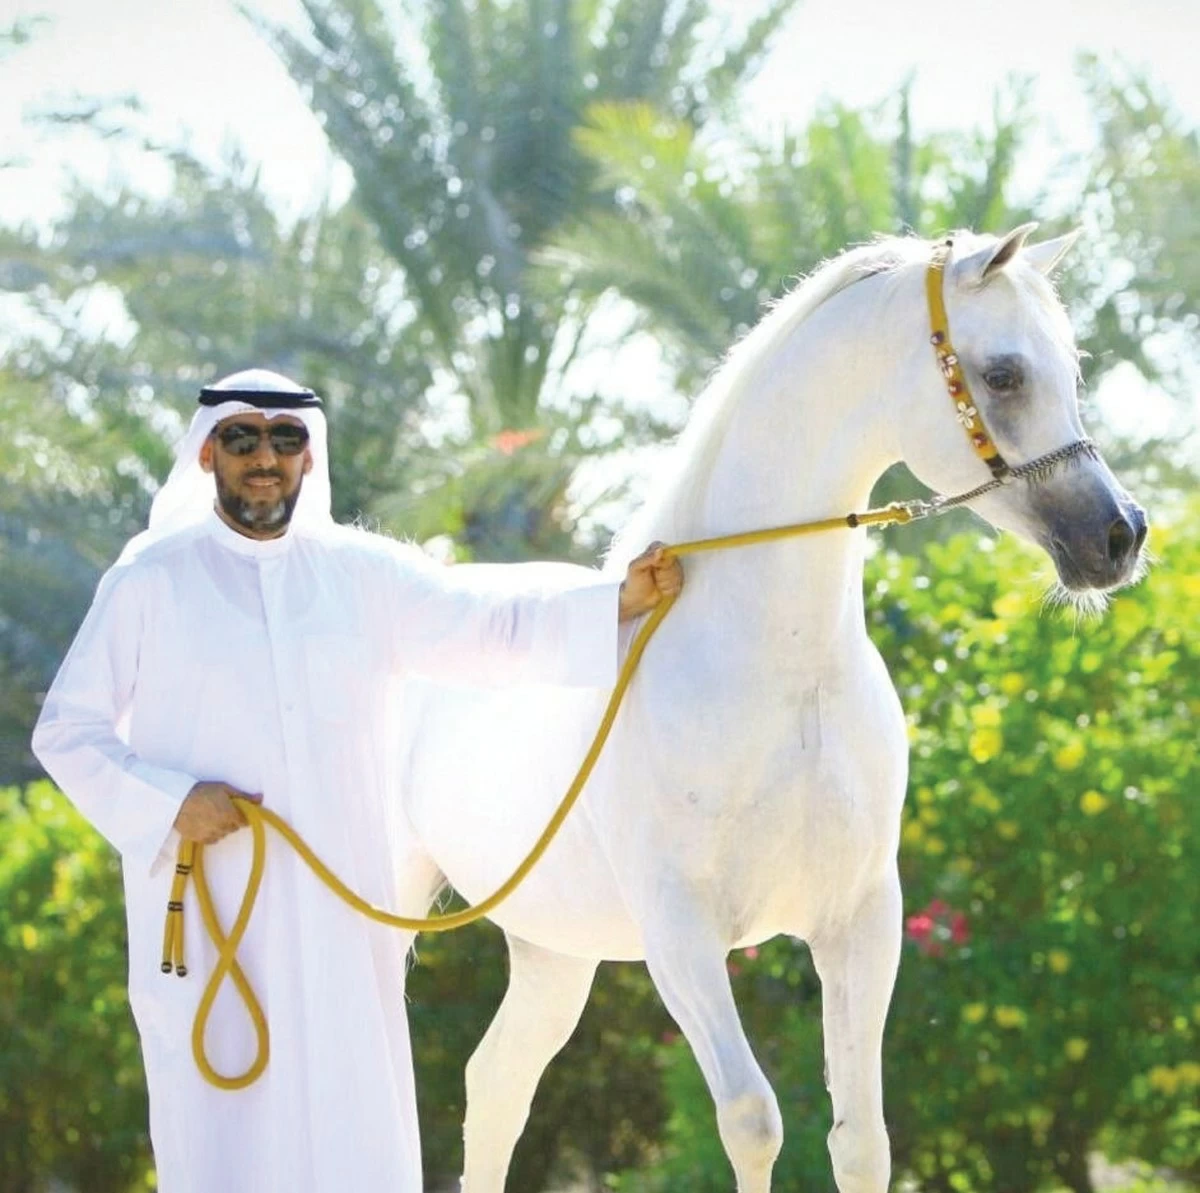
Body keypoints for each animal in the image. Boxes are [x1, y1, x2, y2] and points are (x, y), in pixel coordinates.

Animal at [394, 227, 1147, 1192]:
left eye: (1072, 368)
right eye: (1005, 373)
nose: (1118, 538)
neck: (780, 673)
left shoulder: (861, 921)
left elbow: (861, 1137)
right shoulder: (682, 935)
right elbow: (753, 1121)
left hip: (554, 950)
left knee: (495, 1087)